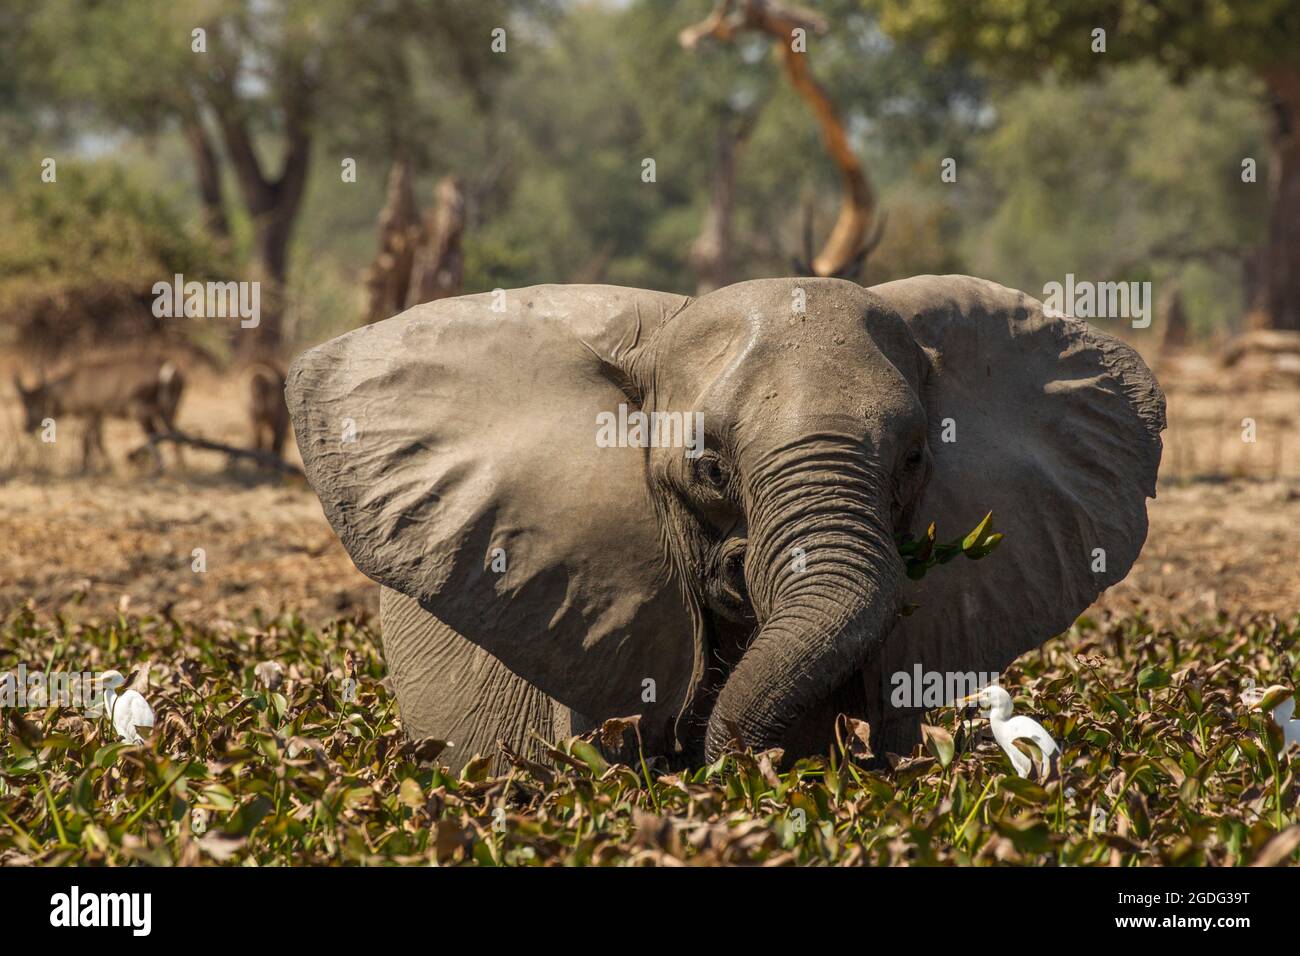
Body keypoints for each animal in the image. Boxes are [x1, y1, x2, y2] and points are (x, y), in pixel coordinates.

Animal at [12, 356, 184, 470]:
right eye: (24, 404)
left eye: (37, 402)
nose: (26, 427)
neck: (72, 385)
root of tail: (169, 370)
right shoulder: (100, 415)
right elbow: (98, 440)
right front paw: (107, 464)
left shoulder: (91, 413)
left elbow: (87, 440)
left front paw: (84, 467)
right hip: (167, 411)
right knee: (174, 433)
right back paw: (179, 464)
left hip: (141, 412)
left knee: (155, 435)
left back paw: (158, 465)